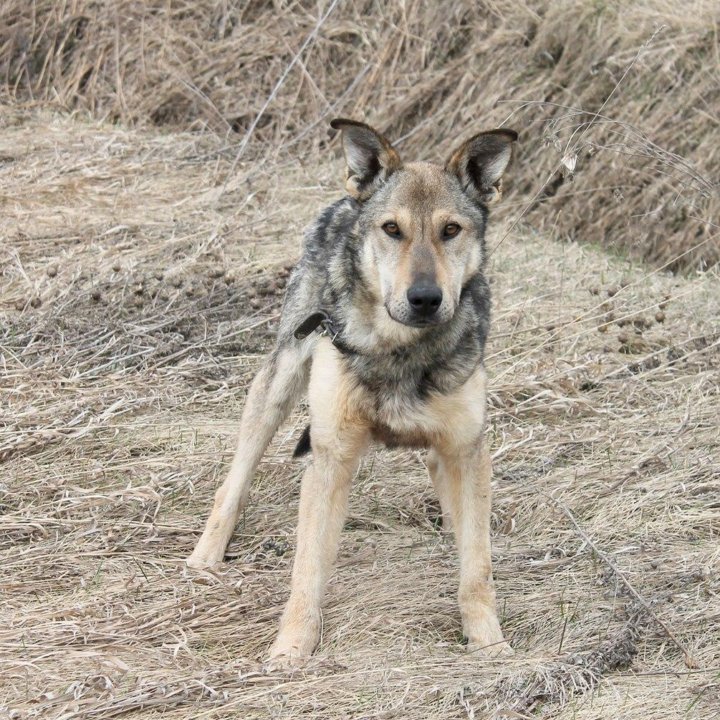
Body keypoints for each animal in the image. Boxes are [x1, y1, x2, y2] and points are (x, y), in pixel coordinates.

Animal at [187, 118, 516, 664]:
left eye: (450, 230)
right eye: (392, 229)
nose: (425, 299)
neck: (400, 350)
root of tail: (346, 200)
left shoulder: (468, 448)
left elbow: (478, 566)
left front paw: (489, 643)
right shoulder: (332, 454)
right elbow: (307, 571)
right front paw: (290, 649)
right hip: (279, 382)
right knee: (233, 481)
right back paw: (205, 556)